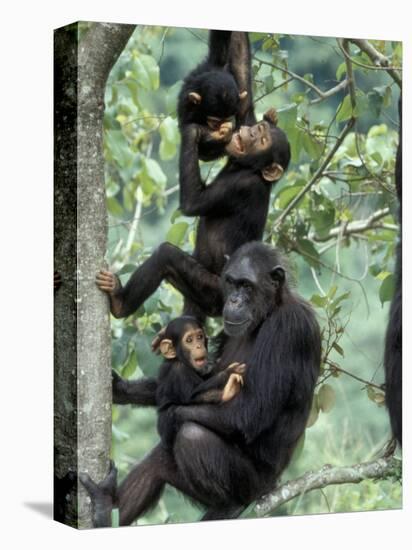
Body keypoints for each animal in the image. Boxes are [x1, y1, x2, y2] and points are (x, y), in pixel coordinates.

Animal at [154, 316, 245, 450]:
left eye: (200, 337)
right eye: (189, 340)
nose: (198, 346)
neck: (179, 359)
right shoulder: (179, 372)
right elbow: (192, 395)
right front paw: (229, 374)